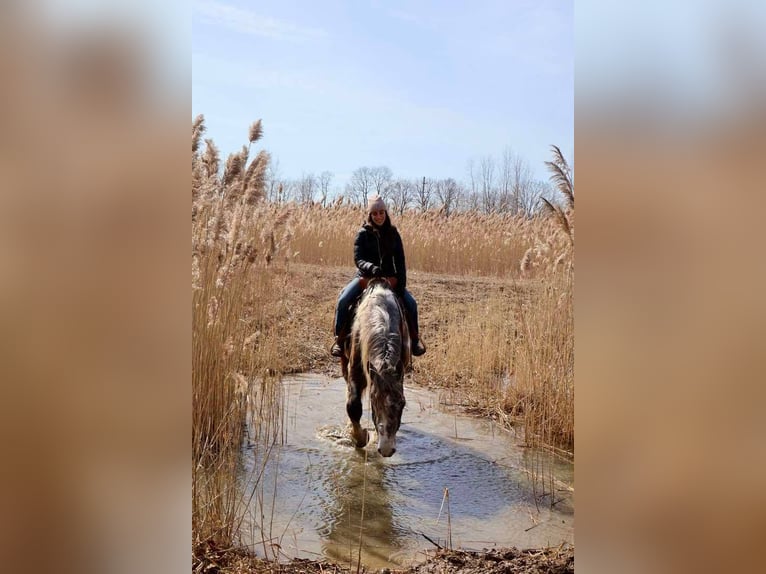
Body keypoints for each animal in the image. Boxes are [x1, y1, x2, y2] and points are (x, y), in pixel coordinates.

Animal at [340, 278, 410, 457]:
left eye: (403, 403)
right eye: (373, 400)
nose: (386, 449)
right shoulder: (355, 370)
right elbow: (353, 405)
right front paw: (359, 437)